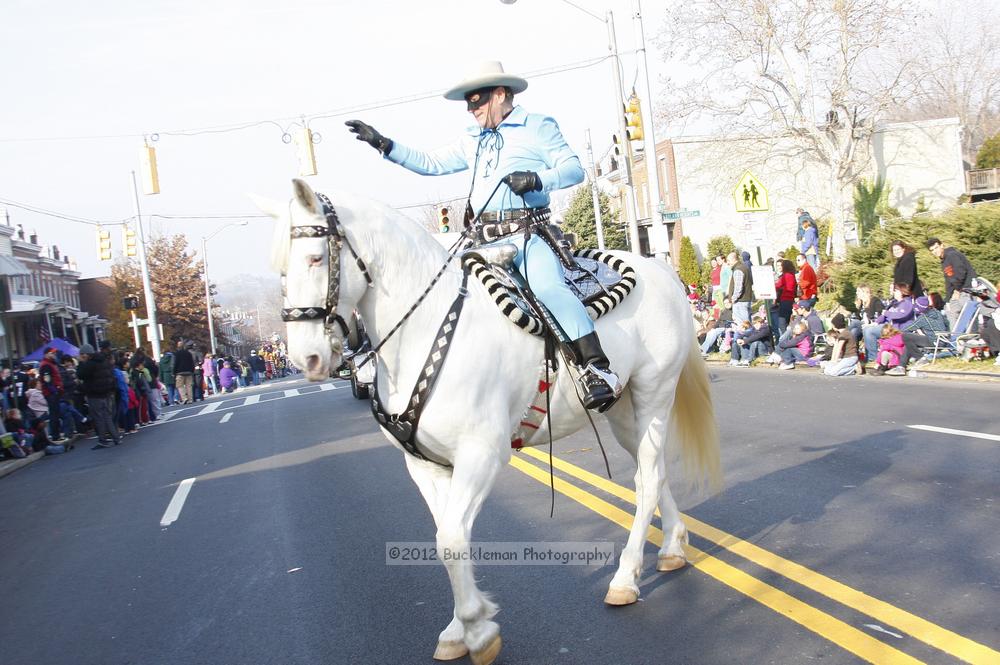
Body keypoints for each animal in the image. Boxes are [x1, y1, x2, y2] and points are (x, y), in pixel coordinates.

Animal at [254, 179, 716, 664]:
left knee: (647, 480)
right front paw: (458, 630)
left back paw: (625, 578)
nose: (305, 358)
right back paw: (672, 547)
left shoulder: (481, 455)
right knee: (654, 472)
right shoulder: (426, 465)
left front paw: (477, 629)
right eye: (279, 268)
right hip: (627, 413)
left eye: (314, 257)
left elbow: (452, 539)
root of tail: (658, 268)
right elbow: (445, 538)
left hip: (654, 395)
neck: (425, 329)